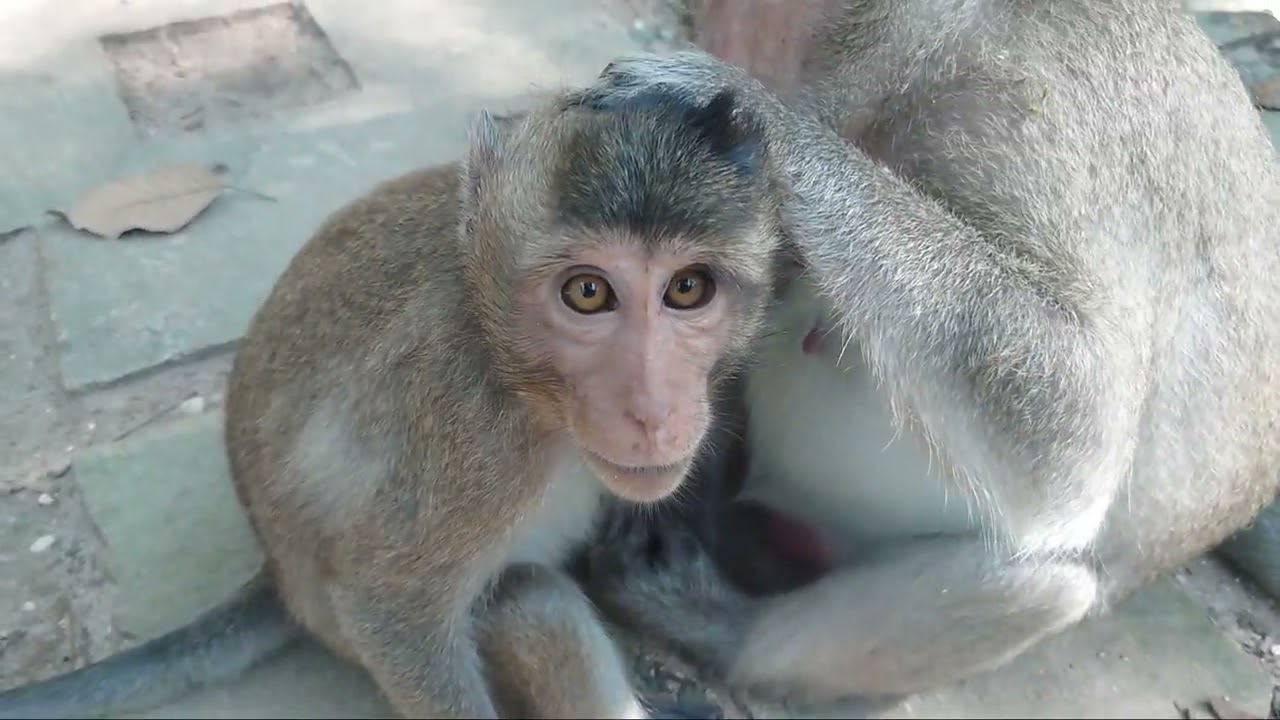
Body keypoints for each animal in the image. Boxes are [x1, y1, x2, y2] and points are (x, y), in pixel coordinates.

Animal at [0, 85, 783, 719]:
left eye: (687, 288)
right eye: (587, 292)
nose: (652, 409)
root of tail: (277, 574)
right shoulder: (469, 437)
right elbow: (391, 611)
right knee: (529, 598)